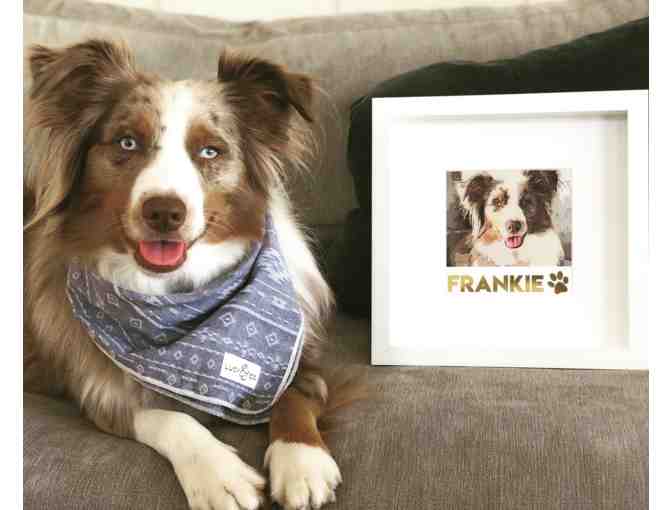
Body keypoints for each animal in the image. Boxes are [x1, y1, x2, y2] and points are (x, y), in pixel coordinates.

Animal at [24, 39, 349, 510]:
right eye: (127, 142)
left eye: (210, 151)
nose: (163, 212)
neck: (174, 293)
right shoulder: (101, 393)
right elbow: (170, 417)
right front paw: (220, 476)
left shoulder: (300, 359)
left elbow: (293, 395)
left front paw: (302, 460)